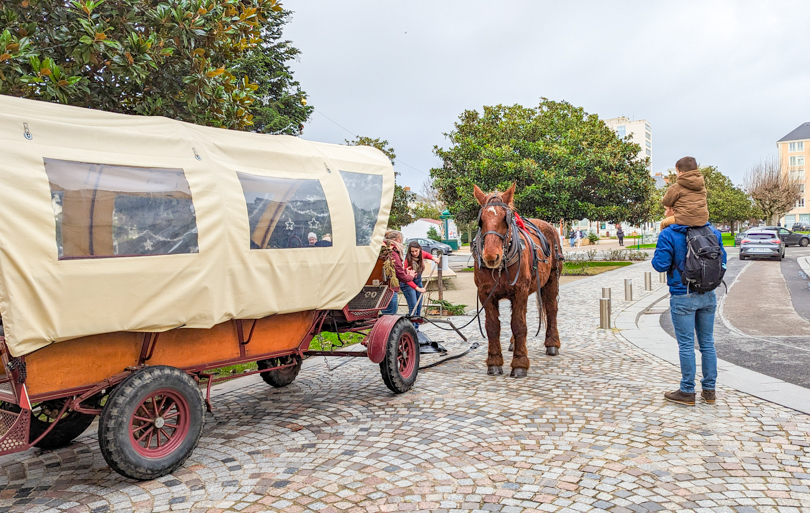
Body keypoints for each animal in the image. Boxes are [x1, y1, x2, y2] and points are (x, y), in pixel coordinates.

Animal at [474, 184, 560, 376]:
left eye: (506, 219)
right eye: (481, 221)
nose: (490, 256)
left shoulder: (520, 291)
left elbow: (519, 325)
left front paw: (520, 363)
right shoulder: (486, 293)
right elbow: (493, 327)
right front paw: (494, 362)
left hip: (551, 279)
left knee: (551, 309)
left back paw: (552, 344)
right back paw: (514, 344)